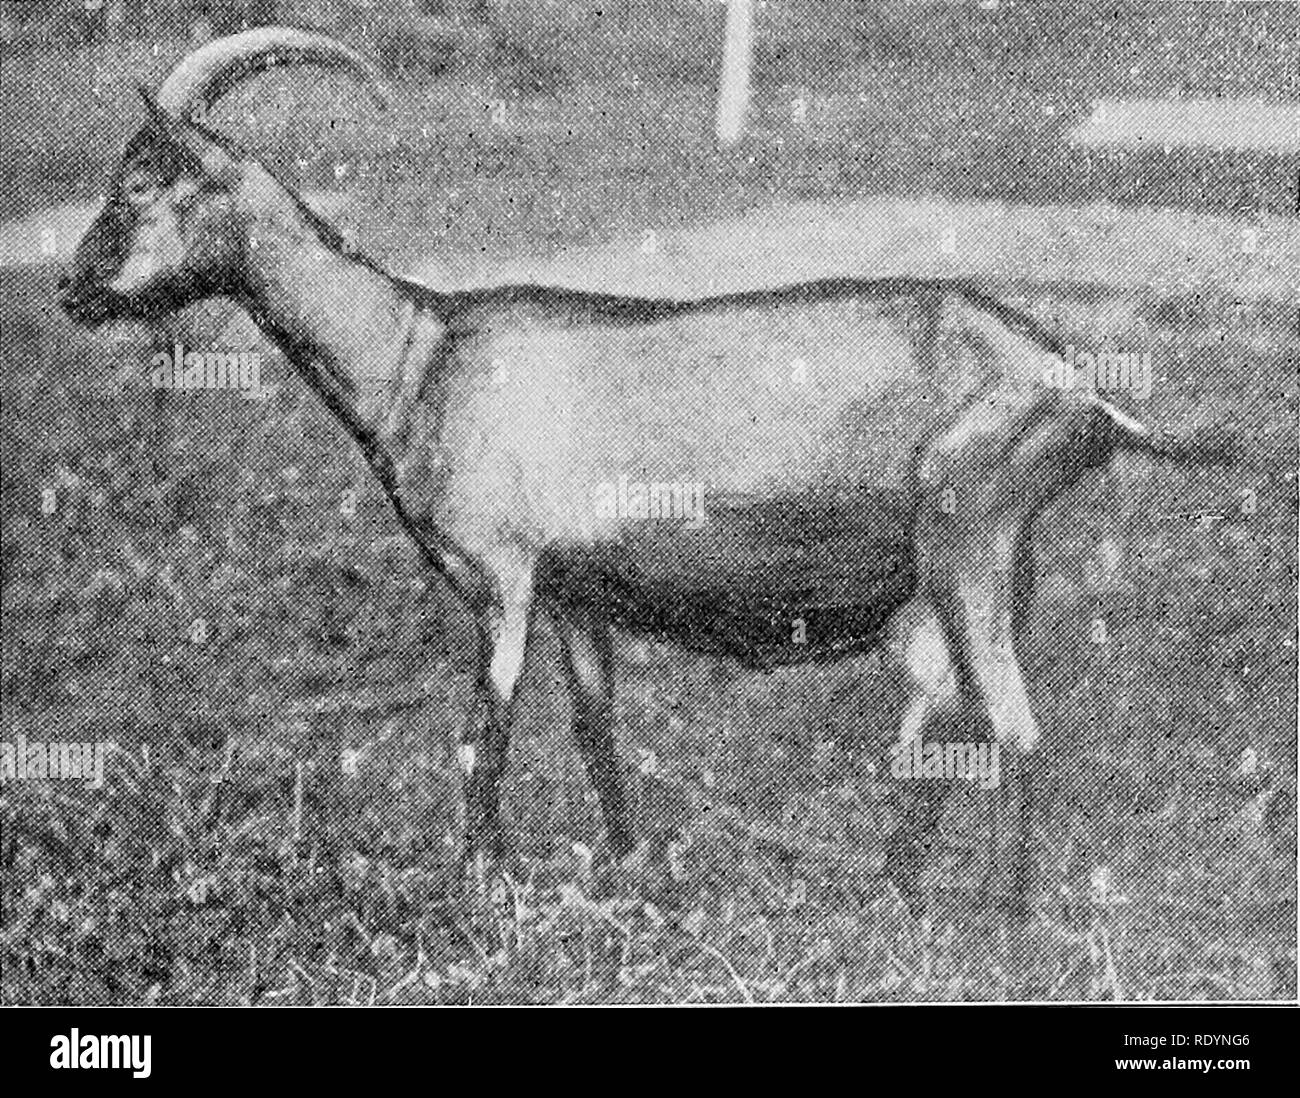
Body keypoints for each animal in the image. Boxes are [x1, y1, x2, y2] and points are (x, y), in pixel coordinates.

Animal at [59, 27, 1236, 905]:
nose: (72, 291)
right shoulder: (579, 595)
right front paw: (627, 872)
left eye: (142, 181)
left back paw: (1005, 925)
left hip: (971, 534)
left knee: (1016, 727)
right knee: (938, 723)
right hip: (972, 572)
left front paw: (478, 883)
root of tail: (1076, 381)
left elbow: (484, 730)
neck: (415, 351)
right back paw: (896, 896)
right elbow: (594, 730)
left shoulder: (500, 578)